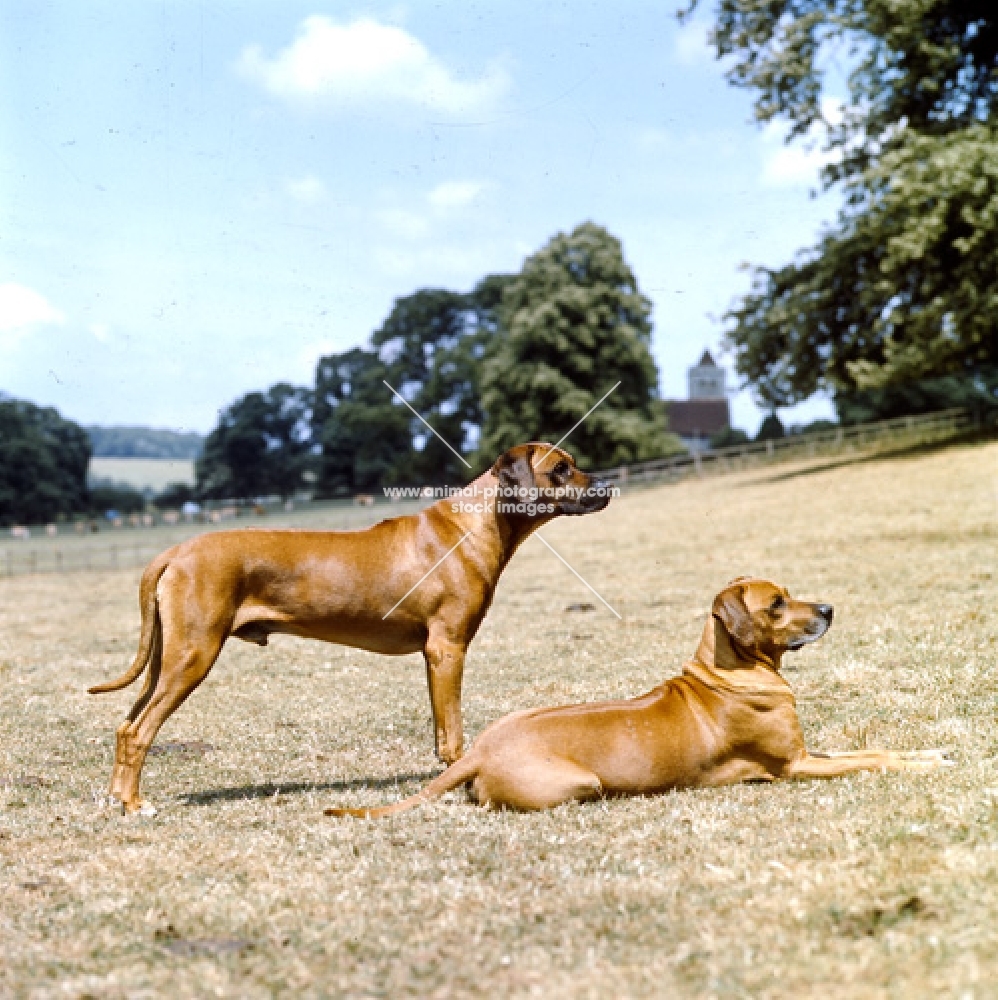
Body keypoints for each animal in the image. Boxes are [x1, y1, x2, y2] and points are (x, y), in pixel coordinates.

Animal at [90, 444, 612, 812]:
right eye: (561, 468)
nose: (606, 486)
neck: (477, 524)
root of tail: (173, 552)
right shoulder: (448, 648)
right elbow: (454, 734)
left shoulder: (432, 655)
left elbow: (440, 727)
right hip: (193, 655)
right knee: (140, 731)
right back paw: (135, 805)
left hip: (166, 657)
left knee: (125, 724)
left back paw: (116, 798)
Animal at [330, 576, 952, 816]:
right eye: (777, 604)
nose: (828, 609)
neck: (731, 670)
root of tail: (478, 752)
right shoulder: (793, 766)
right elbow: (869, 761)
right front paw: (920, 768)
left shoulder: (805, 752)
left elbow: (877, 749)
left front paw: (933, 754)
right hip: (580, 783)